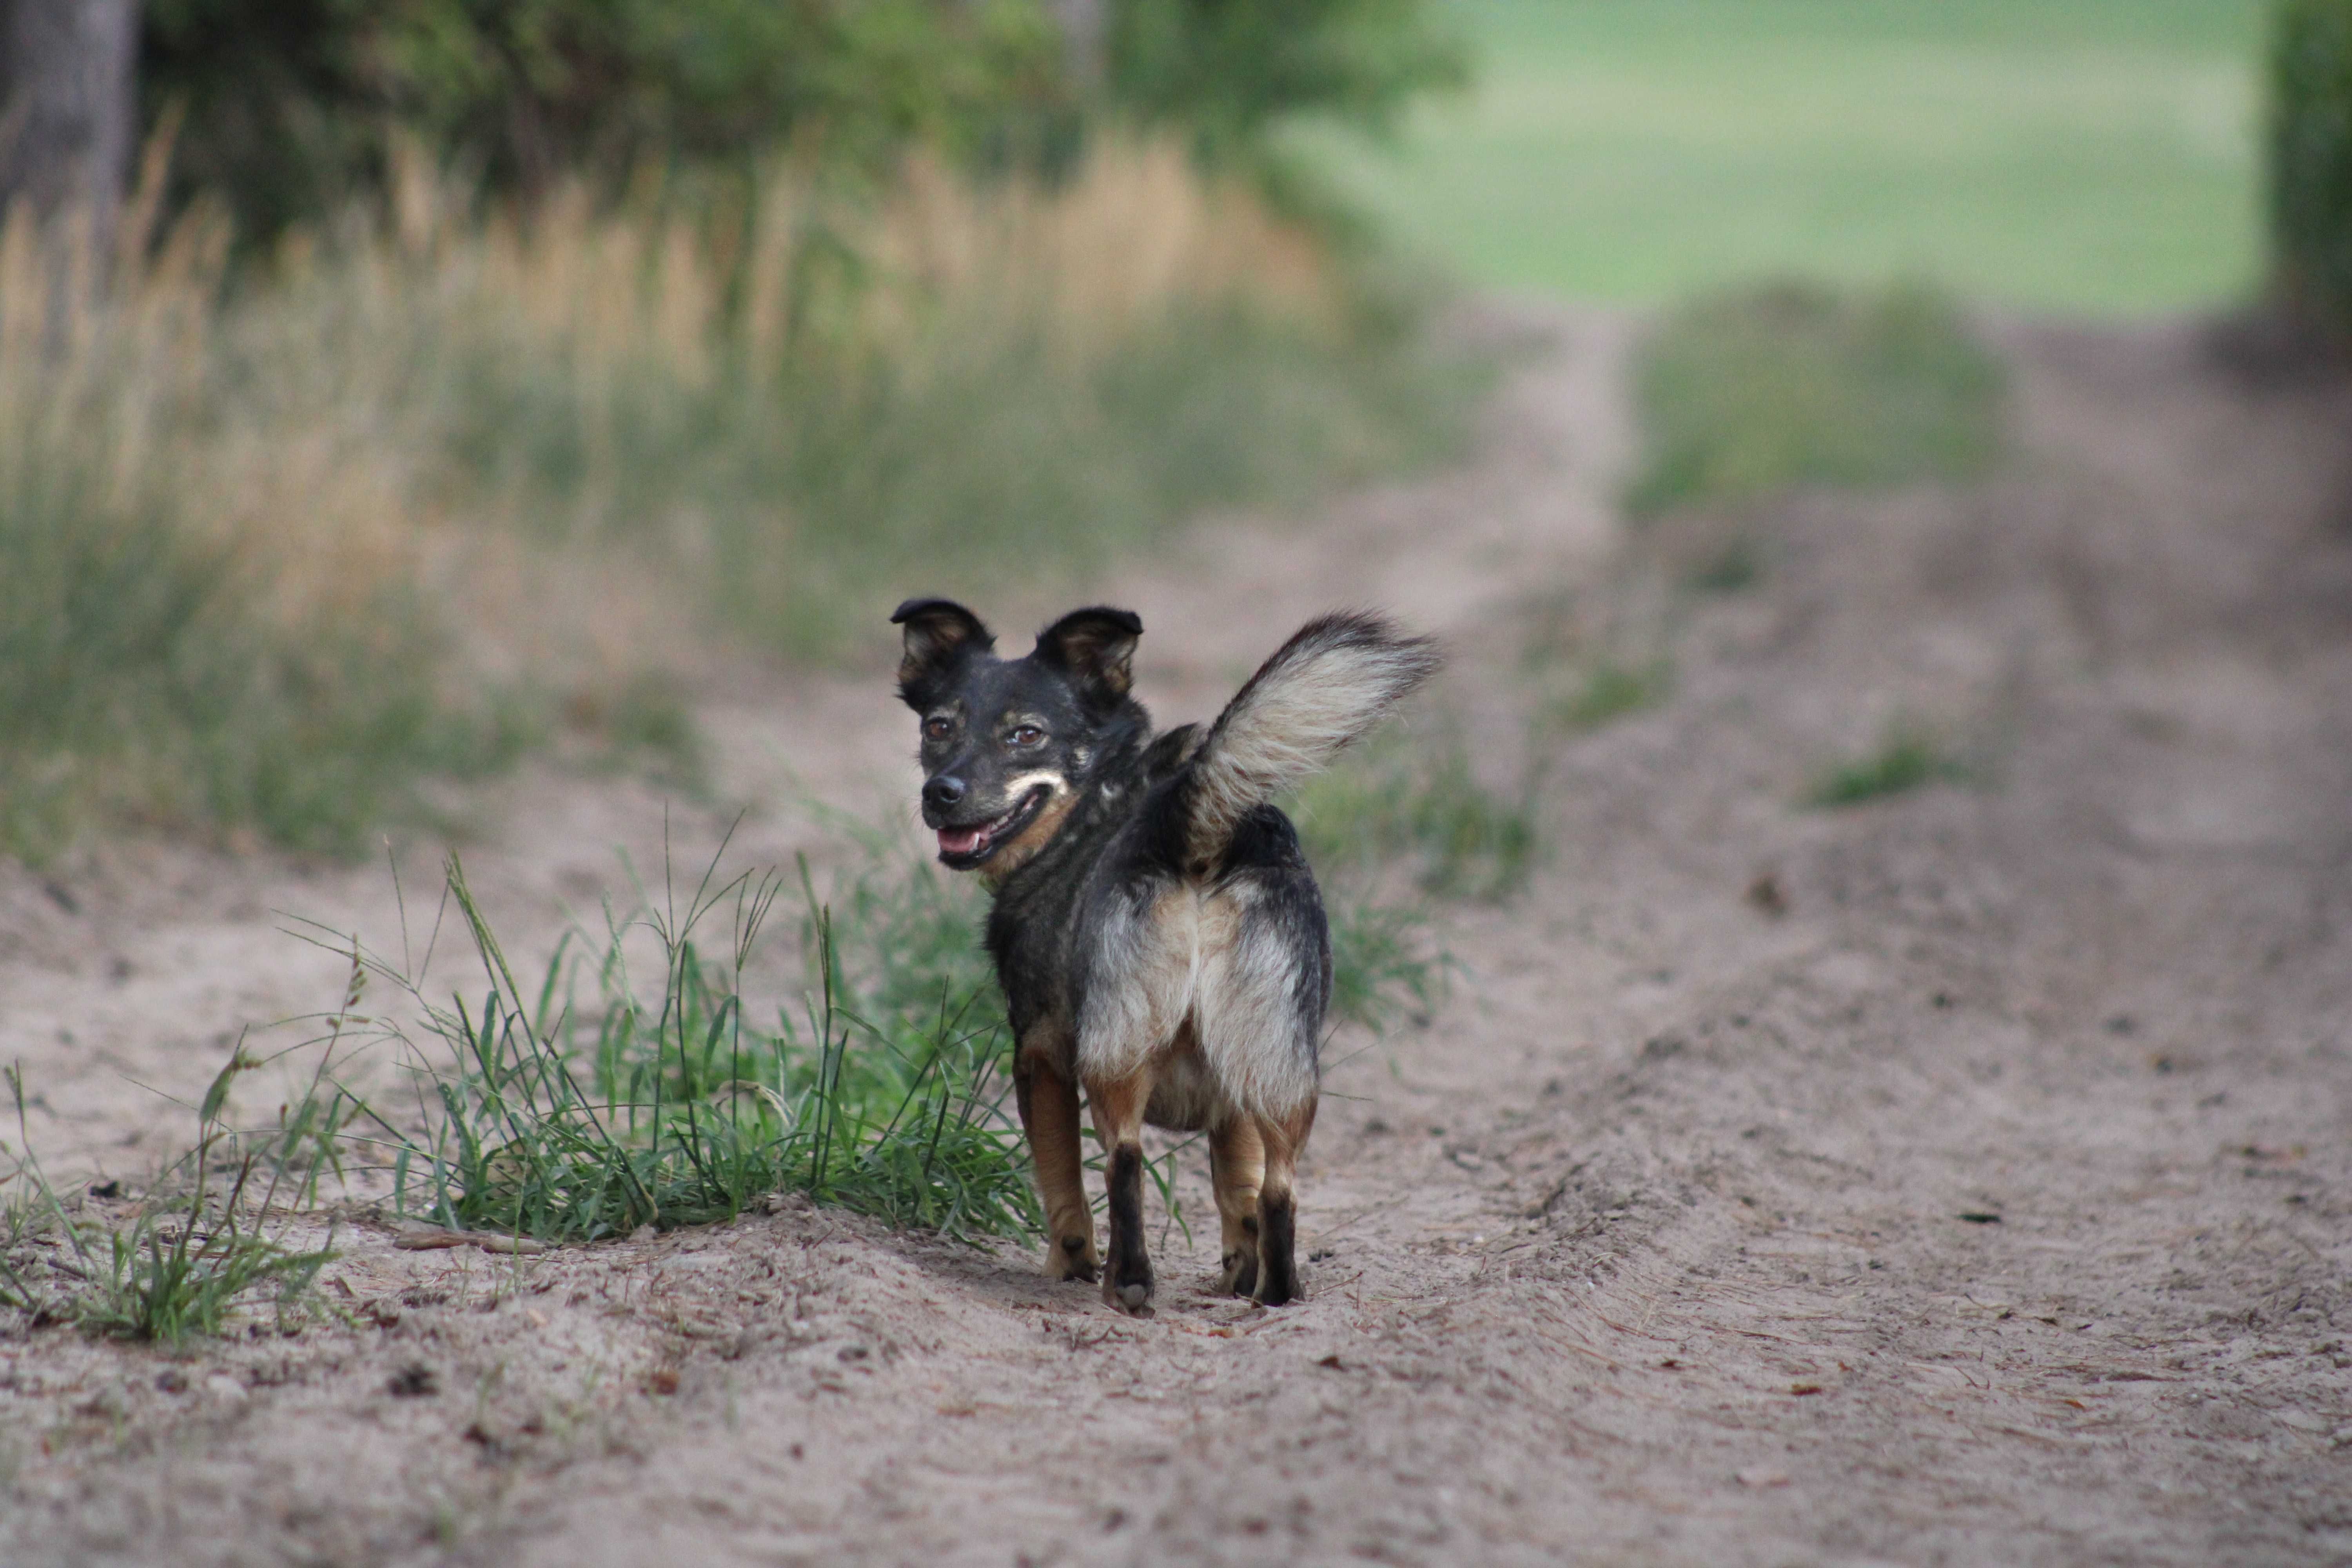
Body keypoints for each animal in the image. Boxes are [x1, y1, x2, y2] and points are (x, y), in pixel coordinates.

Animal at [884, 597, 1430, 1316]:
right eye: (939, 727)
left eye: (1026, 736)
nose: (941, 792)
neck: (1095, 806)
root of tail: (1193, 830)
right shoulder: (1231, 1099)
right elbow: (1237, 1190)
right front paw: (1237, 1273)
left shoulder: (1039, 1056)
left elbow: (1060, 1180)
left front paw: (1068, 1267)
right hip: (1278, 1068)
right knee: (1280, 1188)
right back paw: (1275, 1296)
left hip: (1115, 1055)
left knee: (1125, 1161)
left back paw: (1128, 1284)